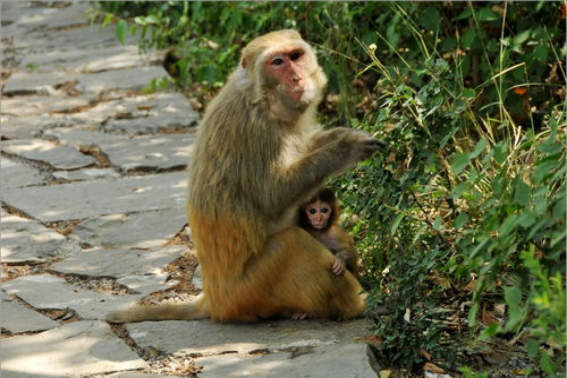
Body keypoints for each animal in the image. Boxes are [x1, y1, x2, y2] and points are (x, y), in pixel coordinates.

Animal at [107, 30, 382, 324]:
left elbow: (307, 145)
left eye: (296, 56)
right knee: (291, 244)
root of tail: (212, 300)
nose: (297, 77)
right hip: (250, 291)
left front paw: (341, 133)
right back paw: (364, 305)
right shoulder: (256, 130)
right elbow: (272, 196)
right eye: (277, 62)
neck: (262, 99)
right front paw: (346, 147)